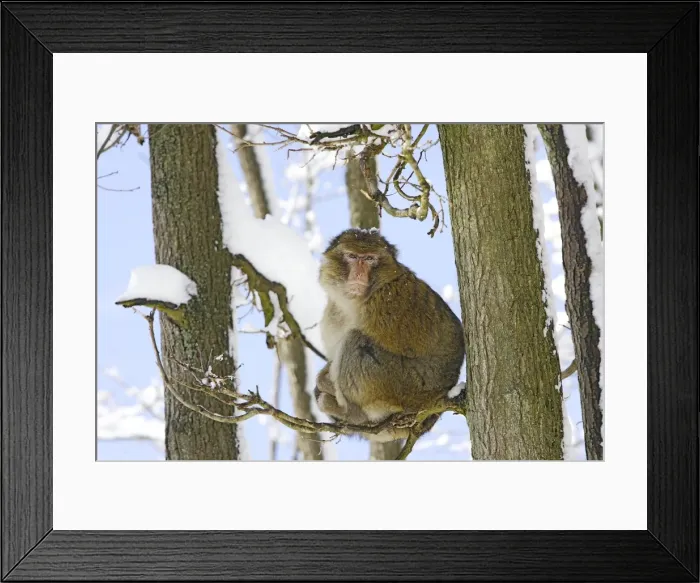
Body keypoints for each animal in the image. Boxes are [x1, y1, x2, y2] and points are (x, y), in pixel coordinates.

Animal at [313, 228, 465, 442]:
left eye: (369, 258)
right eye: (352, 256)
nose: (359, 273)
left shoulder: (388, 301)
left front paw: (324, 382)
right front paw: (322, 379)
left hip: (405, 390)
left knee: (356, 341)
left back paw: (350, 412)